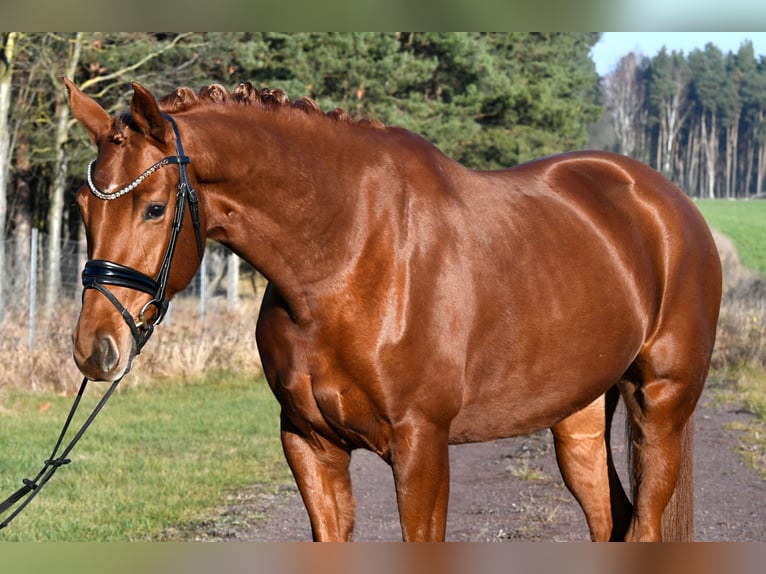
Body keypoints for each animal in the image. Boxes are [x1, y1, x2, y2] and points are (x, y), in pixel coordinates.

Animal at [64, 78, 722, 542]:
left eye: (153, 208)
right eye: (82, 206)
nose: (95, 348)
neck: (347, 256)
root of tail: (667, 203)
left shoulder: (422, 448)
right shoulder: (310, 444)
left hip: (659, 409)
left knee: (644, 525)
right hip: (578, 419)